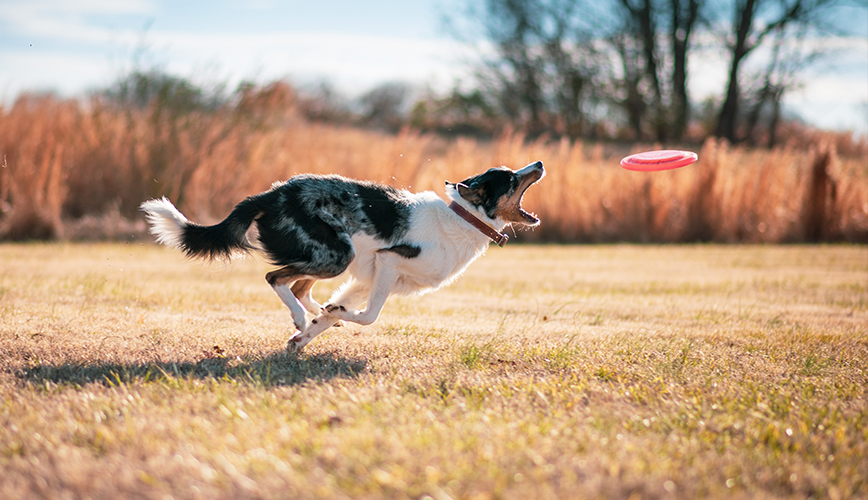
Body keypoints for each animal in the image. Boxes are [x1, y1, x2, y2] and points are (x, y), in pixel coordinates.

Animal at [140, 162, 544, 350]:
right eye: (510, 179)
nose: (538, 164)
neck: (461, 218)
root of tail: (271, 194)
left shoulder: (368, 279)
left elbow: (341, 313)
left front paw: (313, 331)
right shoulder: (388, 262)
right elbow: (369, 317)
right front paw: (318, 324)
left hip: (332, 259)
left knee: (300, 287)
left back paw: (314, 313)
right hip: (336, 255)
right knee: (277, 279)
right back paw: (300, 316)